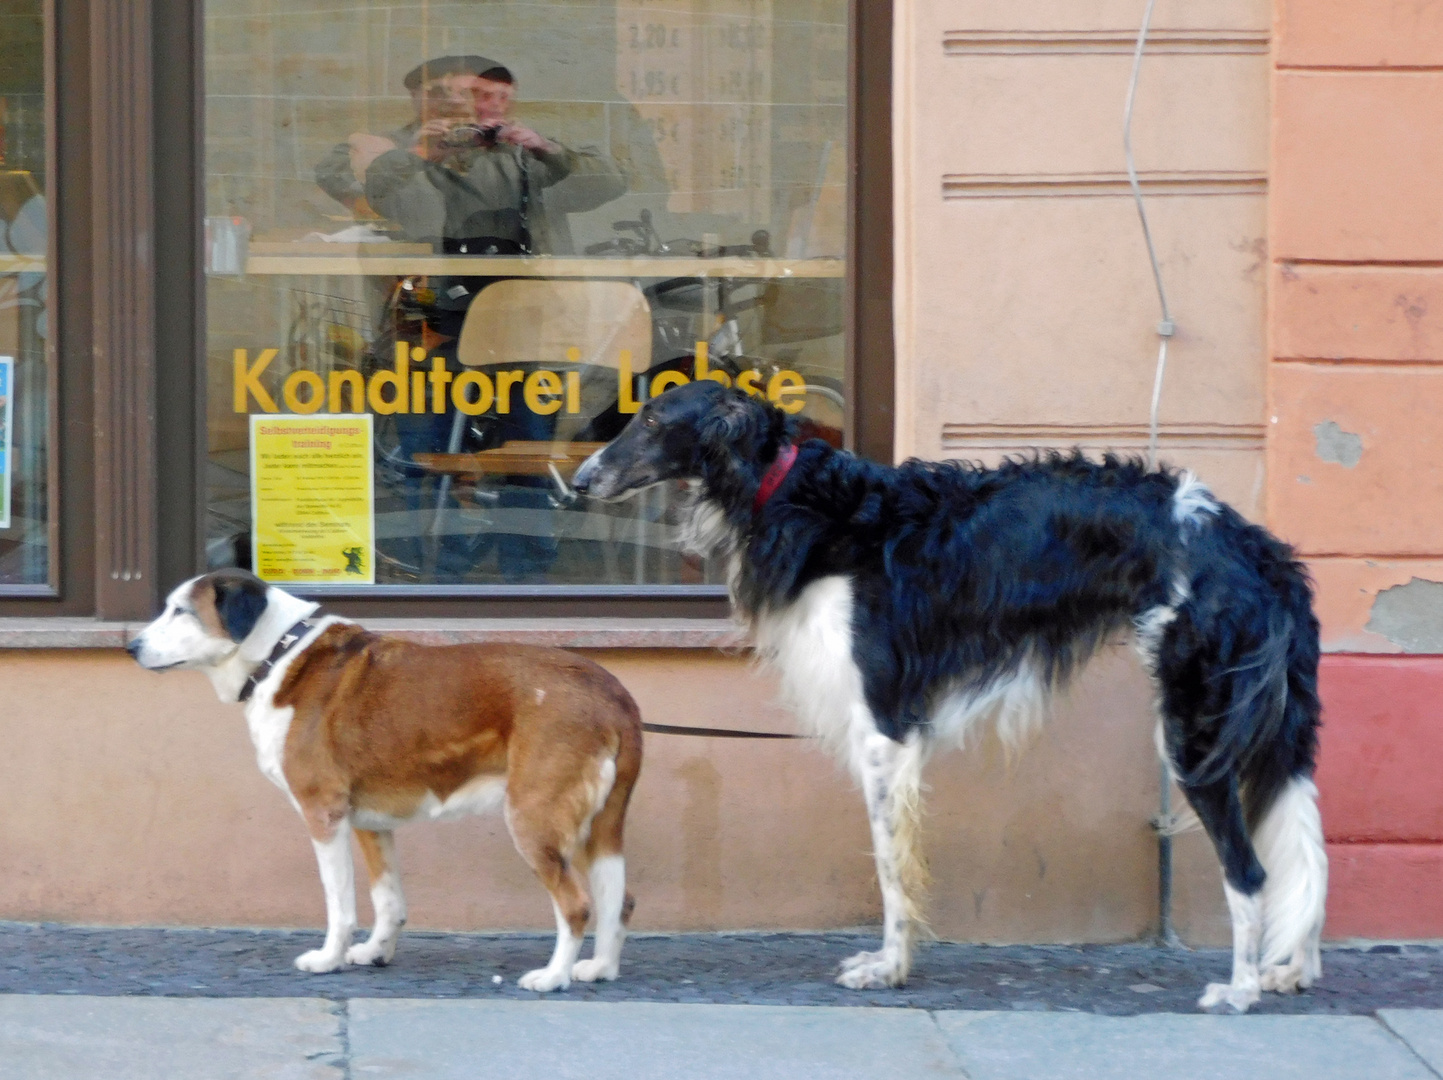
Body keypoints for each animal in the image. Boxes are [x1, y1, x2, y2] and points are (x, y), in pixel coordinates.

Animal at [126, 568, 646, 993]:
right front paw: (377, 952)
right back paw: (600, 968)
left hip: (535, 818)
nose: (130, 647)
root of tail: (610, 692)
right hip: (597, 824)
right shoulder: (369, 822)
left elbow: (340, 904)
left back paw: (555, 976)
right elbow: (387, 898)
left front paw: (329, 959)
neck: (278, 653)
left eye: (181, 611)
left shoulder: (324, 814)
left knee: (576, 904)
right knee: (618, 898)